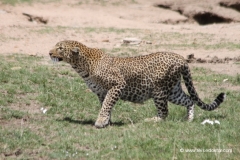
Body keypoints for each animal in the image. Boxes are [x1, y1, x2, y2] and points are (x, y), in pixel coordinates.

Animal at [48, 40, 225, 129]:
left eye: (60, 48)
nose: (49, 53)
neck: (81, 65)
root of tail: (181, 58)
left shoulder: (117, 84)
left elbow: (107, 105)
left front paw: (101, 121)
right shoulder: (102, 92)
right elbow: (106, 105)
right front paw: (107, 121)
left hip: (159, 91)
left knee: (164, 113)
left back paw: (150, 120)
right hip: (173, 90)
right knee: (189, 100)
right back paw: (189, 120)